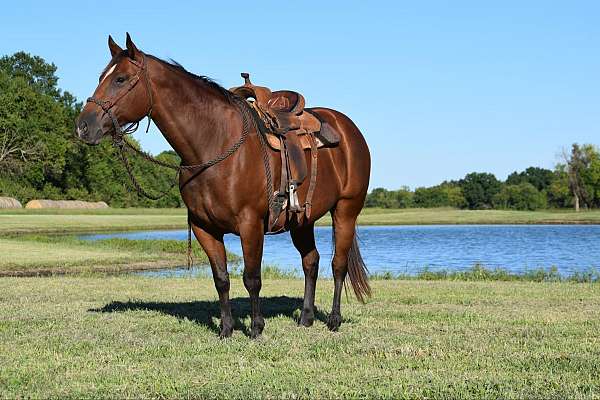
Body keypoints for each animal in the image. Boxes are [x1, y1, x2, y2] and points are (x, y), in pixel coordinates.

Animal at [76, 33, 370, 338]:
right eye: (102, 77)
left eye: (120, 79)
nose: (83, 126)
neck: (214, 144)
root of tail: (348, 128)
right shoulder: (204, 227)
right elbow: (221, 278)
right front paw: (226, 328)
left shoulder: (250, 224)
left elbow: (252, 278)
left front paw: (256, 328)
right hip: (302, 221)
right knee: (311, 262)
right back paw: (306, 317)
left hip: (346, 211)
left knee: (338, 265)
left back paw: (334, 320)